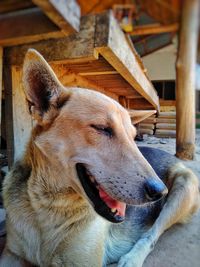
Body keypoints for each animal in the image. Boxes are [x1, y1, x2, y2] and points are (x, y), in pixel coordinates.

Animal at [0, 48, 199, 267]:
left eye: (132, 136)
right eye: (102, 129)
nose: (159, 191)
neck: (48, 204)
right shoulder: (11, 254)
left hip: (183, 188)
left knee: (152, 233)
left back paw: (131, 258)